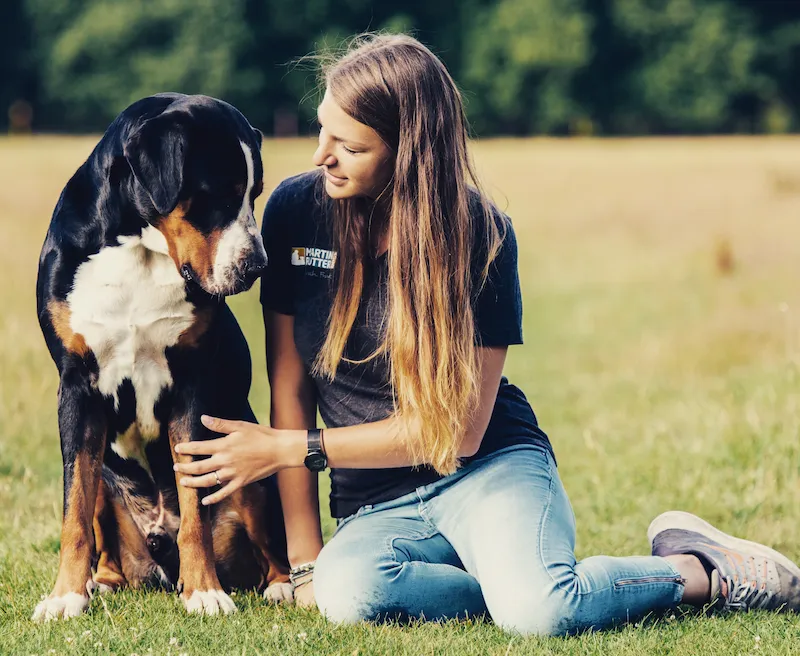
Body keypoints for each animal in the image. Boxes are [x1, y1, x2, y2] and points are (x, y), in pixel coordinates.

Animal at [34, 93, 292, 620]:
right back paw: (101, 584)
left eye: (254, 196)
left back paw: (280, 586)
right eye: (219, 194)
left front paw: (205, 592)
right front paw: (64, 596)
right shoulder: (77, 389)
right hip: (106, 478)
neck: (137, 251)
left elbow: (194, 509)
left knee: (268, 543)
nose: (257, 265)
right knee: (101, 532)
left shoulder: (191, 388)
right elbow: (74, 512)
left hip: (247, 459)